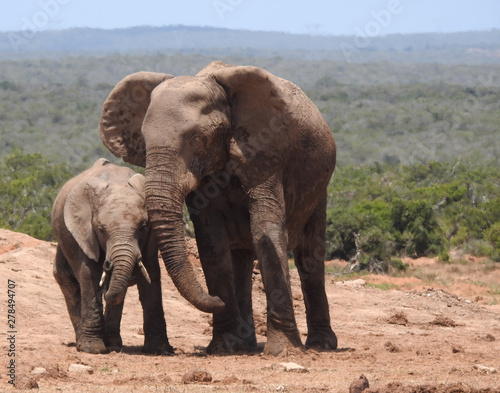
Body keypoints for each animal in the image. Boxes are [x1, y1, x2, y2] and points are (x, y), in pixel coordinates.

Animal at [50, 158, 172, 354]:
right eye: (101, 230)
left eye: (143, 227)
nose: (108, 264)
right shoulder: (84, 233)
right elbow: (89, 274)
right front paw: (92, 349)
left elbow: (151, 273)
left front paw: (160, 350)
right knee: (65, 278)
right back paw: (83, 341)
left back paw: (113, 345)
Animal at [99, 61, 338, 356]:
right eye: (143, 140)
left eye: (197, 139)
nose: (214, 299)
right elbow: (212, 242)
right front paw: (223, 346)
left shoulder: (264, 148)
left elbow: (266, 232)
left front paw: (282, 351)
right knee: (242, 260)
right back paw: (245, 344)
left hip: (319, 186)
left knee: (309, 256)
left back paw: (321, 345)